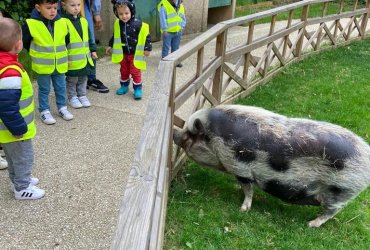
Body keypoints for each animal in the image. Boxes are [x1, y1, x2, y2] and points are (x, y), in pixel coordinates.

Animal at [173, 104, 370, 228]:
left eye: (189, 136)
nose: (174, 133)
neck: (216, 138)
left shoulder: (240, 167)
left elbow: (248, 189)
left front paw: (243, 209)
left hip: (341, 190)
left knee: (332, 211)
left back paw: (311, 224)